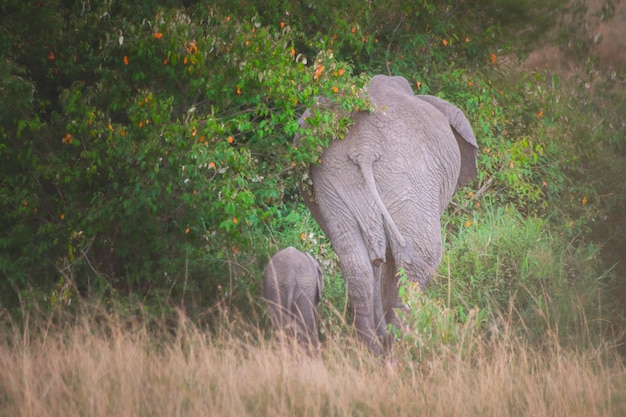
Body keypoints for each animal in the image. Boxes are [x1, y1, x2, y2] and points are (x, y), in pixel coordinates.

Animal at [294, 75, 476, 354]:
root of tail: (365, 147)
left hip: (333, 179)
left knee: (356, 261)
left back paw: (371, 348)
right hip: (410, 178)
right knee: (418, 258)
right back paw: (399, 348)